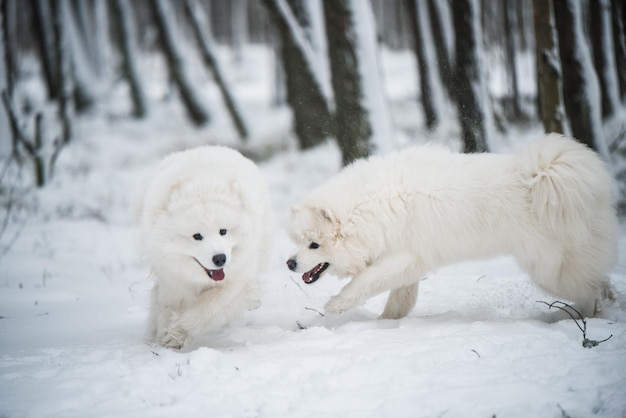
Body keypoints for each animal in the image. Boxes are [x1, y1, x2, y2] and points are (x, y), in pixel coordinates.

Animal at [136, 145, 270, 348]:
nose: (220, 258)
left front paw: (177, 334)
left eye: (223, 231)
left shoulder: (235, 280)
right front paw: (162, 338)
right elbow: (166, 309)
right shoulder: (172, 281)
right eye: (197, 236)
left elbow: (208, 308)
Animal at [286, 136, 616, 318]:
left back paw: (580, 318)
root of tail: (544, 175)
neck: (368, 209)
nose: (289, 263)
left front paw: (336, 305)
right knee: (599, 283)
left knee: (589, 290)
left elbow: (363, 283)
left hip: (550, 272)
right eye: (297, 240)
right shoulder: (409, 265)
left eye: (314, 245)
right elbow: (400, 302)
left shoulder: (402, 258)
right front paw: (385, 324)